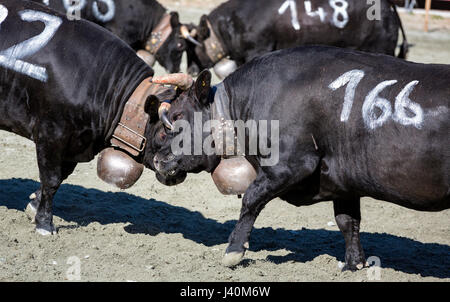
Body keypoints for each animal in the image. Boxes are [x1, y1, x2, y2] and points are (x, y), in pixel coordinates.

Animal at [0, 0, 176, 234]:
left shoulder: (75, 142)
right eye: (166, 133)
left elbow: (60, 177)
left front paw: (34, 206)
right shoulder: (50, 134)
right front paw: (45, 223)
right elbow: (51, 179)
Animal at [150, 46, 450, 270]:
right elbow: (347, 221)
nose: (158, 159)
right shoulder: (345, 181)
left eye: (177, 116)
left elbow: (251, 198)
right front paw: (354, 264)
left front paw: (233, 251)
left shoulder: (290, 165)